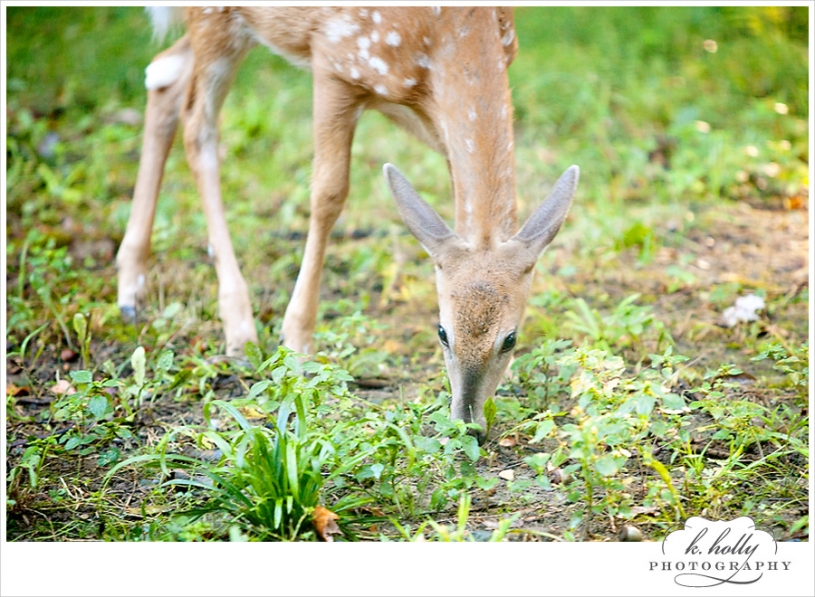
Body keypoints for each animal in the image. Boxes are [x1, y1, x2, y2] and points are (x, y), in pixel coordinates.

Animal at [116, 6, 579, 444]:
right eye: (442, 332)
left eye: (511, 338)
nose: (468, 425)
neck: (452, 31)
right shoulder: (334, 60)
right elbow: (328, 193)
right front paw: (297, 343)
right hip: (216, 22)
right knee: (197, 125)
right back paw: (238, 325)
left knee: (163, 74)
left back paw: (130, 287)